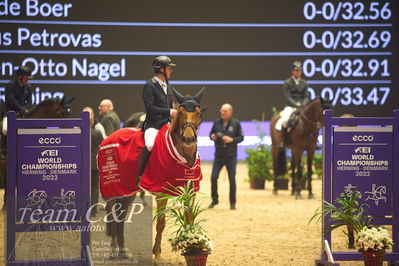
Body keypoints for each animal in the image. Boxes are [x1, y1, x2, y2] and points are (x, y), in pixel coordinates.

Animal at [98, 87, 206, 260]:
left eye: (198, 112)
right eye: (180, 111)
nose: (188, 139)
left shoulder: (190, 191)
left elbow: (189, 218)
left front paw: (193, 247)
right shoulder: (162, 192)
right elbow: (161, 223)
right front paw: (157, 255)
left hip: (129, 190)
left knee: (121, 216)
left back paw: (122, 251)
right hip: (114, 186)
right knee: (114, 215)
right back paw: (113, 250)